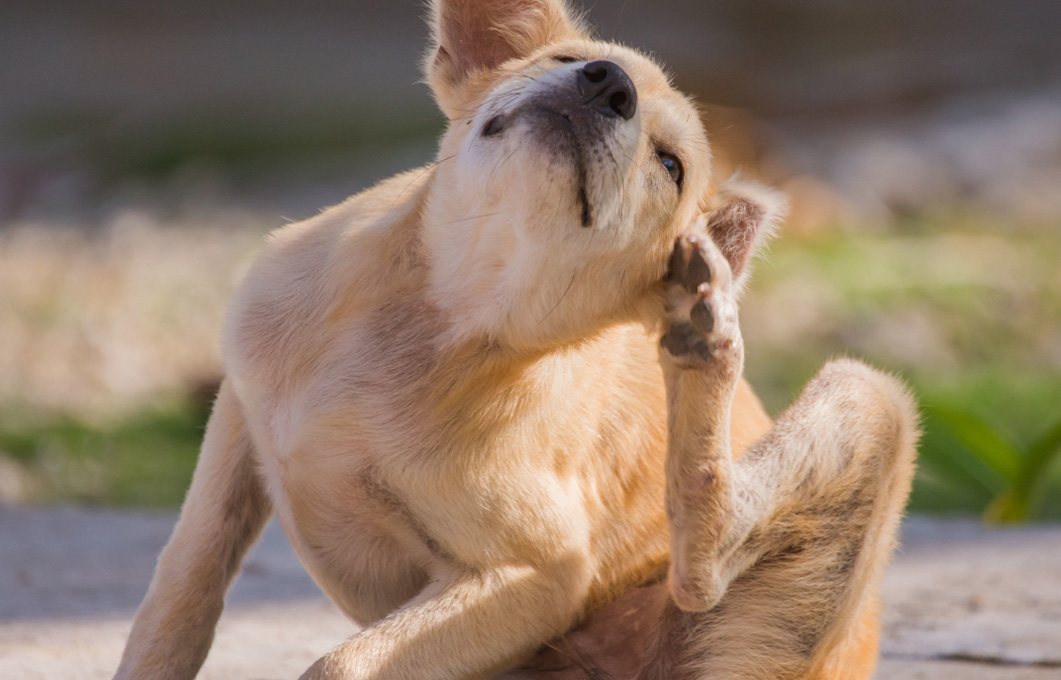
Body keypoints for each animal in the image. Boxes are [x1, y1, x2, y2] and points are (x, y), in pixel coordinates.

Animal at [111, 1, 916, 678]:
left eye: (670, 165)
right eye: (568, 59)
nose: (608, 84)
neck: (442, 312)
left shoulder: (534, 576)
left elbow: (341, 664)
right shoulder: (238, 419)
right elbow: (182, 589)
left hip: (868, 398)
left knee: (705, 567)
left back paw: (705, 336)